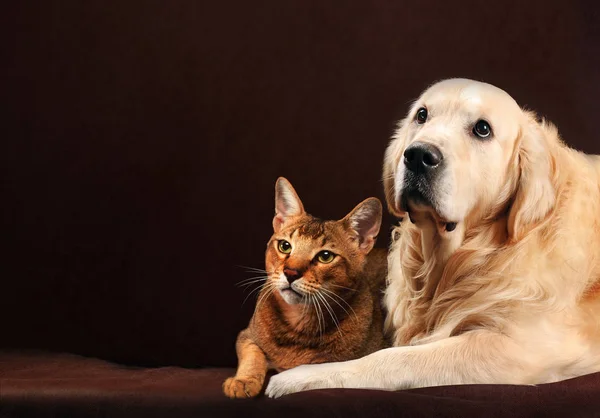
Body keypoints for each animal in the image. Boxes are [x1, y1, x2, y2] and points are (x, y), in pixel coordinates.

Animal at [223, 176, 386, 398]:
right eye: (284, 246)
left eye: (325, 256)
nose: (290, 273)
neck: (298, 322)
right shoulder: (246, 335)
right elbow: (253, 356)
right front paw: (243, 381)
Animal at [266, 78, 600, 398]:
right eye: (422, 115)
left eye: (482, 129)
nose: (417, 155)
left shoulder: (523, 347)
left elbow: (394, 358)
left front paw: (301, 377)